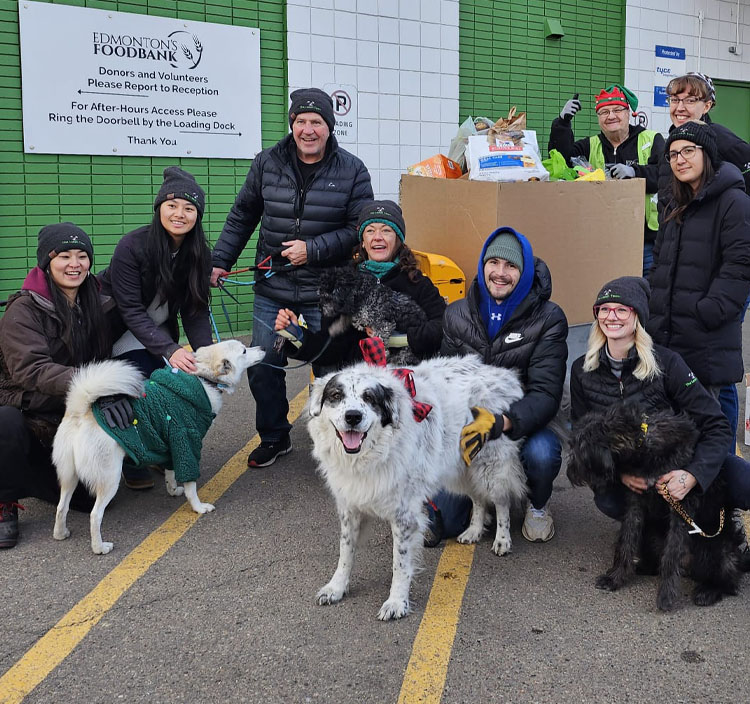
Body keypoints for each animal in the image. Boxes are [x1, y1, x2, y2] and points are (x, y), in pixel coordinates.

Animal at [52, 340, 264, 556]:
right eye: (244, 351)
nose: (262, 348)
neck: (203, 379)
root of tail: (79, 412)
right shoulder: (186, 441)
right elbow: (191, 486)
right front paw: (198, 507)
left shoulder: (172, 446)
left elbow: (170, 473)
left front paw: (173, 490)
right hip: (109, 478)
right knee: (95, 515)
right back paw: (100, 547)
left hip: (69, 476)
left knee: (62, 507)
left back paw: (61, 533)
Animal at [308, 358, 524, 620]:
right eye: (336, 395)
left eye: (369, 398)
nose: (352, 416)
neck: (370, 455)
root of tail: (503, 373)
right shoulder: (350, 507)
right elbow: (345, 552)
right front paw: (336, 588)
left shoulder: (405, 517)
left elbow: (399, 564)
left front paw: (396, 602)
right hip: (460, 466)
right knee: (478, 498)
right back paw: (474, 530)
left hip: (489, 466)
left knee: (501, 500)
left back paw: (502, 539)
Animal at [572, 402, 744, 612]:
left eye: (578, 447)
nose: (569, 471)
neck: (644, 446)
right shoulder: (635, 504)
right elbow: (626, 541)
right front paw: (615, 577)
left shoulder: (680, 507)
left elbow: (671, 555)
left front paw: (665, 596)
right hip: (650, 534)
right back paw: (641, 567)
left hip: (718, 550)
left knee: (730, 582)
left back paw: (709, 591)